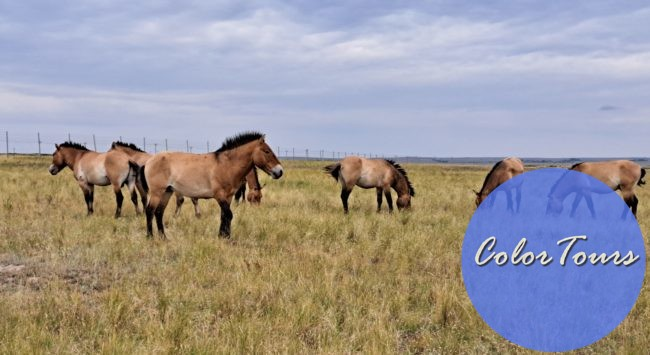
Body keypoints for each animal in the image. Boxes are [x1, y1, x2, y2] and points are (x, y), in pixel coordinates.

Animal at [139, 131, 280, 239]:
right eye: (267, 151)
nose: (280, 171)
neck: (226, 165)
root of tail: (149, 161)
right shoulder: (219, 196)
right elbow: (229, 215)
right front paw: (226, 238)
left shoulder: (228, 197)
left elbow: (224, 216)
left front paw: (222, 236)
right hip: (157, 192)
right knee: (150, 211)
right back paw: (150, 237)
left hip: (167, 192)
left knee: (159, 212)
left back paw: (163, 237)